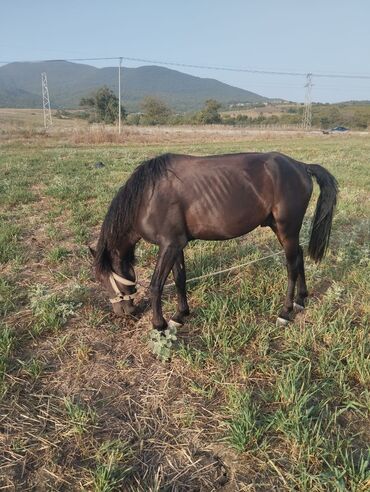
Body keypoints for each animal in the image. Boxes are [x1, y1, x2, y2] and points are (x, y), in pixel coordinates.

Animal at [89, 153, 338, 330]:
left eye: (103, 279)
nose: (122, 312)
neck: (147, 197)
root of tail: (301, 166)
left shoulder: (168, 246)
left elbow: (156, 285)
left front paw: (159, 325)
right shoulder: (176, 245)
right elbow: (180, 279)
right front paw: (180, 315)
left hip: (287, 229)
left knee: (291, 266)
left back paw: (285, 312)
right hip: (282, 229)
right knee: (299, 257)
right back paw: (301, 300)